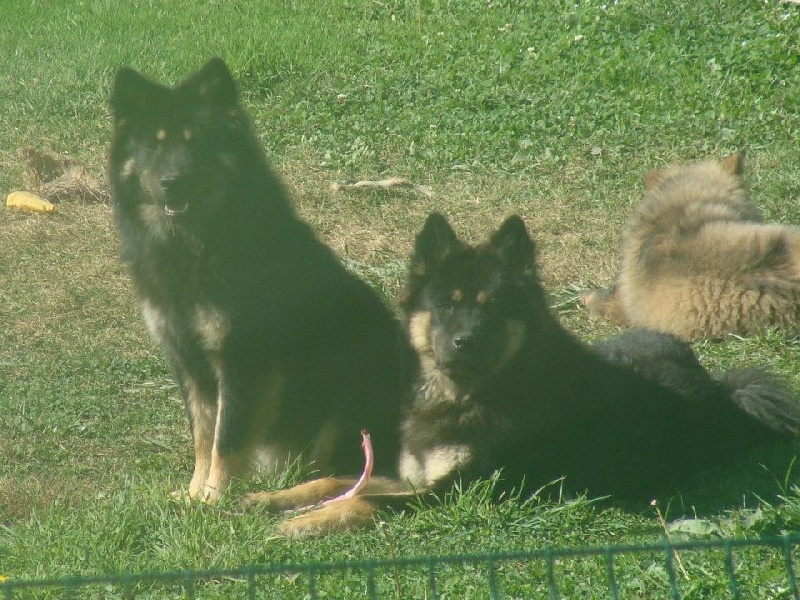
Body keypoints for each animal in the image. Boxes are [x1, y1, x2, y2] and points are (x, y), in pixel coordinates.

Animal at [108, 59, 412, 502]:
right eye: (153, 145)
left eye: (195, 142)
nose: (172, 181)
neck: (194, 244)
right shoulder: (188, 361)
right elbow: (202, 435)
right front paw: (194, 494)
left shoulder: (241, 360)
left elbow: (226, 437)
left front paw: (214, 498)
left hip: (348, 403)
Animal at [242, 213, 800, 536]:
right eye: (447, 306)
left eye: (491, 309)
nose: (463, 342)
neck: (472, 395)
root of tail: (721, 386)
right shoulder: (409, 473)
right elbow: (335, 479)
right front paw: (267, 500)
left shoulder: (456, 492)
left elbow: (367, 502)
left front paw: (302, 525)